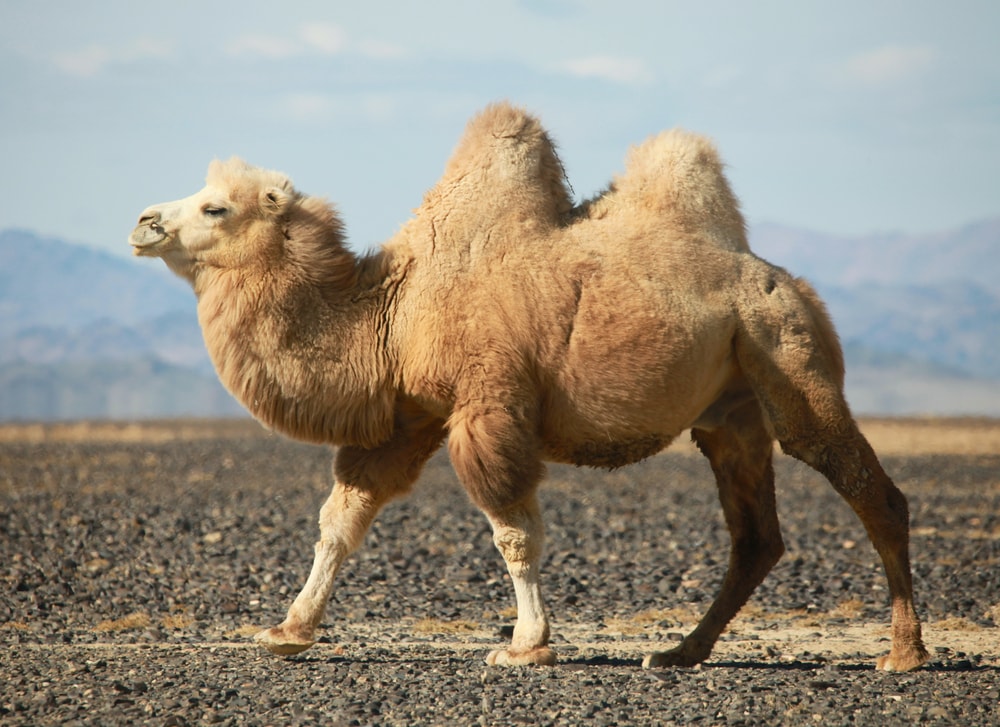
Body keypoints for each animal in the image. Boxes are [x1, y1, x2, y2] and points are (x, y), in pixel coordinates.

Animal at [129, 102, 928, 672]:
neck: (395, 310)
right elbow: (342, 518)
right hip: (729, 410)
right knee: (756, 536)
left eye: (216, 207)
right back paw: (679, 651)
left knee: (869, 489)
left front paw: (526, 644)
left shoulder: (490, 403)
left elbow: (511, 528)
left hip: (786, 353)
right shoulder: (411, 416)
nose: (143, 221)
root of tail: (788, 281)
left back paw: (903, 653)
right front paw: (288, 630)